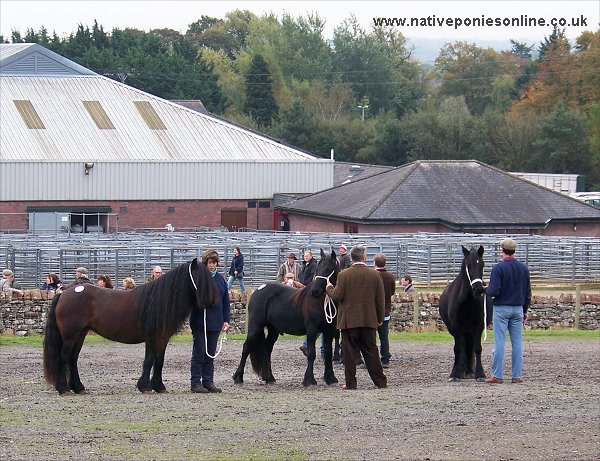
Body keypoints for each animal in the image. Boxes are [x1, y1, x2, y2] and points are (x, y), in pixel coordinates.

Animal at [43, 256, 214, 394]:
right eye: (198, 276)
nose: (210, 301)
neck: (159, 300)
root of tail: (63, 294)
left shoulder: (162, 338)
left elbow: (159, 360)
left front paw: (159, 386)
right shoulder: (152, 336)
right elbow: (149, 359)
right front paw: (145, 386)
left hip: (80, 334)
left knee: (73, 358)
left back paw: (78, 387)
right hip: (70, 335)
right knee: (64, 357)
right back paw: (64, 389)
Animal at [233, 248, 340, 384]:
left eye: (328, 269)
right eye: (318, 268)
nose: (314, 291)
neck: (322, 303)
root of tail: (258, 289)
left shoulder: (329, 331)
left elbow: (328, 353)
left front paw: (330, 378)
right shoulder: (312, 330)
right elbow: (311, 354)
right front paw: (309, 379)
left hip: (273, 330)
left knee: (267, 350)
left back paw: (269, 378)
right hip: (255, 327)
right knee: (246, 347)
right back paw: (238, 377)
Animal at [436, 244, 492, 380]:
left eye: (482, 265)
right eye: (469, 265)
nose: (478, 289)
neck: (467, 300)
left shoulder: (478, 326)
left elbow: (477, 349)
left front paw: (480, 374)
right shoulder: (456, 328)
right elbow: (458, 349)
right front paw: (454, 374)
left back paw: (469, 371)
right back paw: (462, 370)